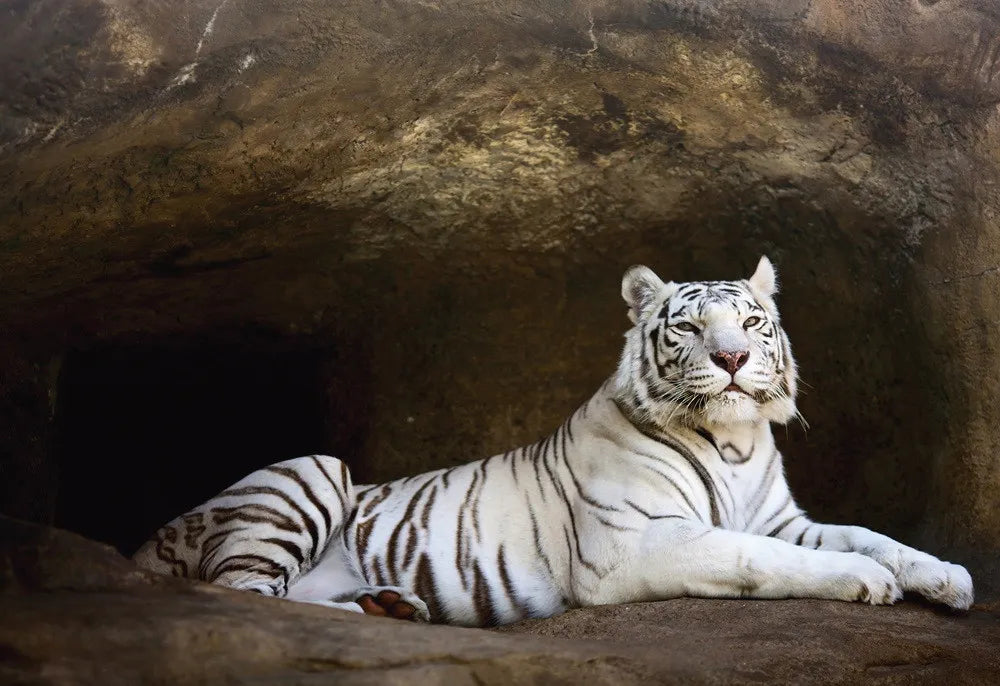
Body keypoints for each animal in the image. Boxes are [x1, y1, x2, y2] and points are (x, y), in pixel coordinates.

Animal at [133, 257, 974, 625]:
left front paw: (947, 577)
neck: (735, 442)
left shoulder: (784, 517)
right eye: (691, 326)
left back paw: (391, 604)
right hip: (309, 471)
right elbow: (756, 558)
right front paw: (864, 581)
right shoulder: (636, 544)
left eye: (751, 322)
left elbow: (869, 534)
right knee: (245, 592)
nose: (734, 359)